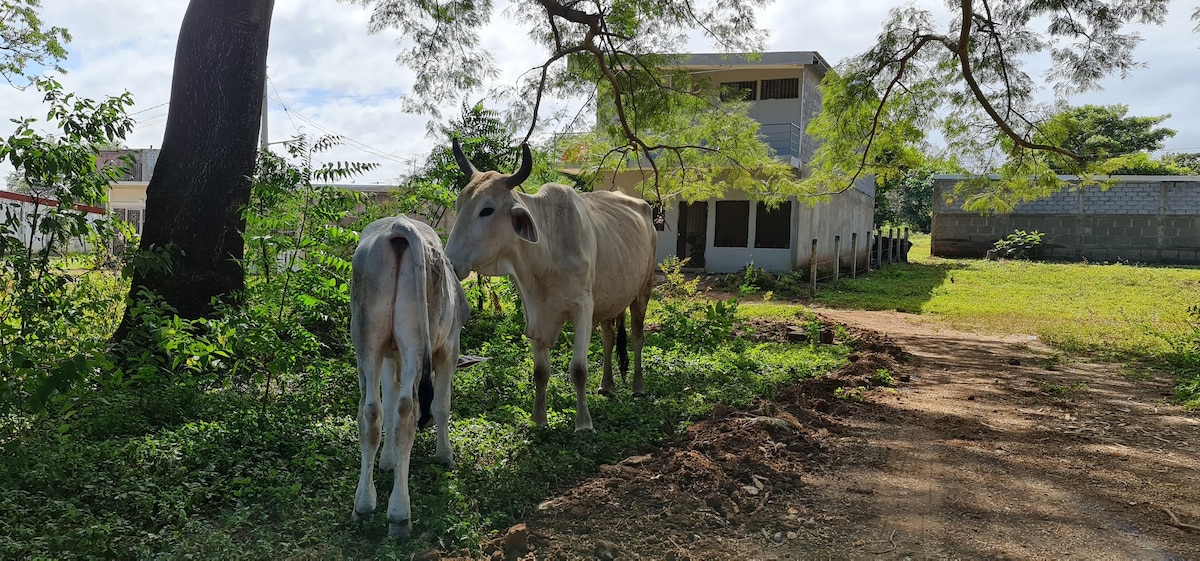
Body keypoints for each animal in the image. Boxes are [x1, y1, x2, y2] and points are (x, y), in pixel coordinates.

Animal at [348, 215, 468, 539]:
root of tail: (398, 227)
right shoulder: (449, 348)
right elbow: (441, 405)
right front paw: (445, 455)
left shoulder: (391, 357)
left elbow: (388, 402)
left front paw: (388, 461)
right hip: (416, 340)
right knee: (406, 411)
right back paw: (399, 515)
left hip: (367, 340)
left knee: (371, 411)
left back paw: (364, 504)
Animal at [446, 137, 657, 431]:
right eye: (458, 206)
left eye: (486, 210)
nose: (450, 262)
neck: (548, 250)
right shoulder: (533, 311)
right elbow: (540, 371)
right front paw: (539, 418)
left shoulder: (583, 309)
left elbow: (579, 368)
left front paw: (583, 423)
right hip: (609, 301)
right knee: (608, 338)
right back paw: (606, 385)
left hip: (642, 291)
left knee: (637, 336)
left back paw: (638, 386)